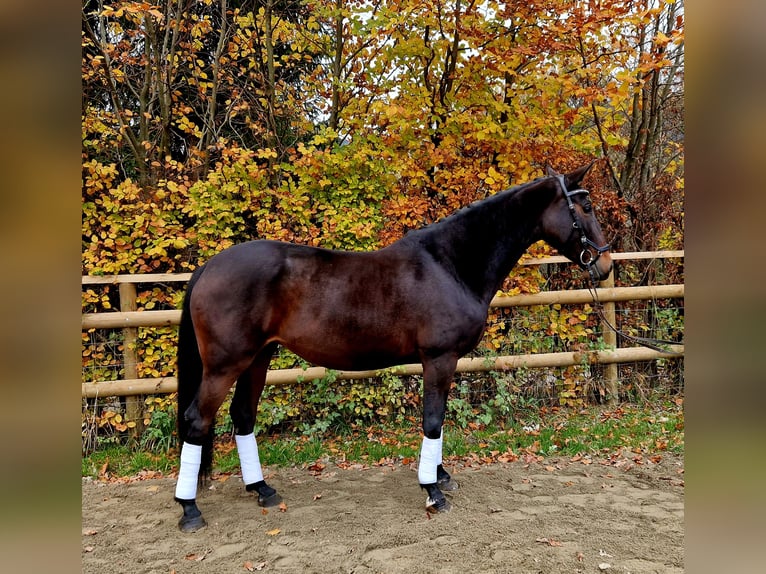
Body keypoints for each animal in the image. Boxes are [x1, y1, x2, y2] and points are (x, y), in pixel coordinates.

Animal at [172, 162, 612, 532]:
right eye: (586, 206)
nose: (604, 265)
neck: (449, 264)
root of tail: (209, 266)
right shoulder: (439, 358)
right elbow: (433, 421)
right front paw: (432, 491)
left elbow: (439, 421)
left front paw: (441, 477)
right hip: (226, 364)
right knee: (197, 421)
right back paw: (190, 509)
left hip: (258, 358)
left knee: (243, 417)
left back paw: (262, 489)